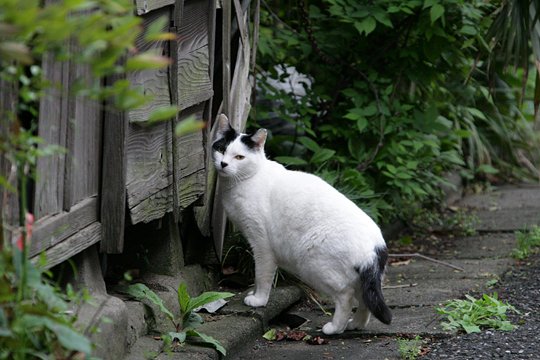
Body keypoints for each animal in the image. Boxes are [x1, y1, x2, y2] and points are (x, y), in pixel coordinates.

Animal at [212, 114, 392, 334]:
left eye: (239, 157)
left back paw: (334, 328)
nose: (223, 164)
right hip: (358, 279)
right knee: (365, 300)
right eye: (221, 149)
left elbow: (261, 275)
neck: (245, 180)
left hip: (312, 263)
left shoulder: (261, 244)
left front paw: (259, 300)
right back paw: (355, 325)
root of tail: (376, 247)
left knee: (346, 296)